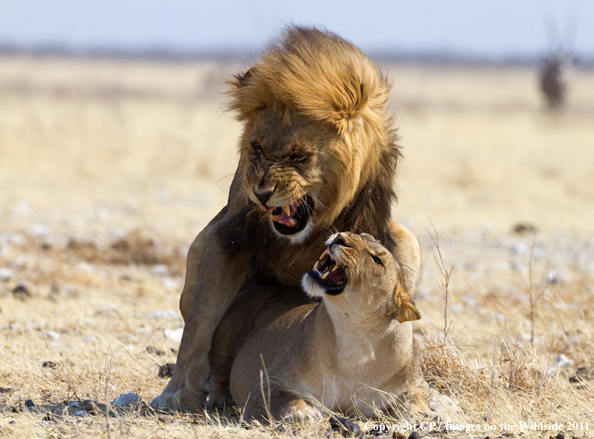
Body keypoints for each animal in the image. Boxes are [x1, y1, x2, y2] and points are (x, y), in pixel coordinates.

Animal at [153, 26, 400, 412]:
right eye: (257, 149)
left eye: (299, 156)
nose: (262, 192)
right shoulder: (231, 234)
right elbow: (198, 324)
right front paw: (176, 393)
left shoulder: (373, 229)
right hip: (200, 248)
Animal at [206, 227, 424, 422]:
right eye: (359, 234)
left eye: (377, 260)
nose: (340, 237)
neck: (356, 338)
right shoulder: (267, 383)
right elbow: (285, 398)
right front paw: (304, 413)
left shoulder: (412, 384)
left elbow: (416, 397)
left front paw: (422, 413)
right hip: (222, 344)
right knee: (218, 377)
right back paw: (219, 403)